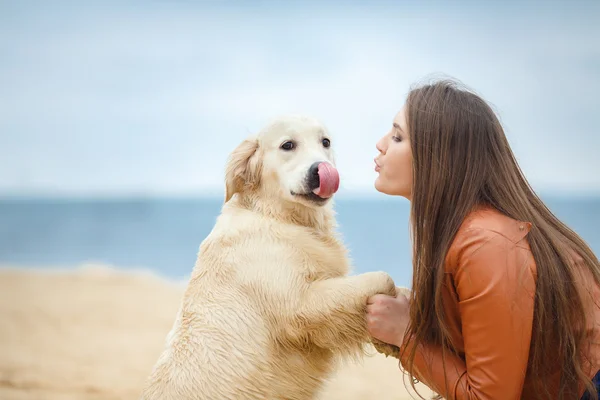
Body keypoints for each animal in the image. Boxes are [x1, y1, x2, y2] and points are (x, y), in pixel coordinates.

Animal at [139, 114, 398, 398]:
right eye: (288, 145)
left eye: (325, 142)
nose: (320, 170)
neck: (274, 214)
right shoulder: (301, 306)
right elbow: (382, 278)